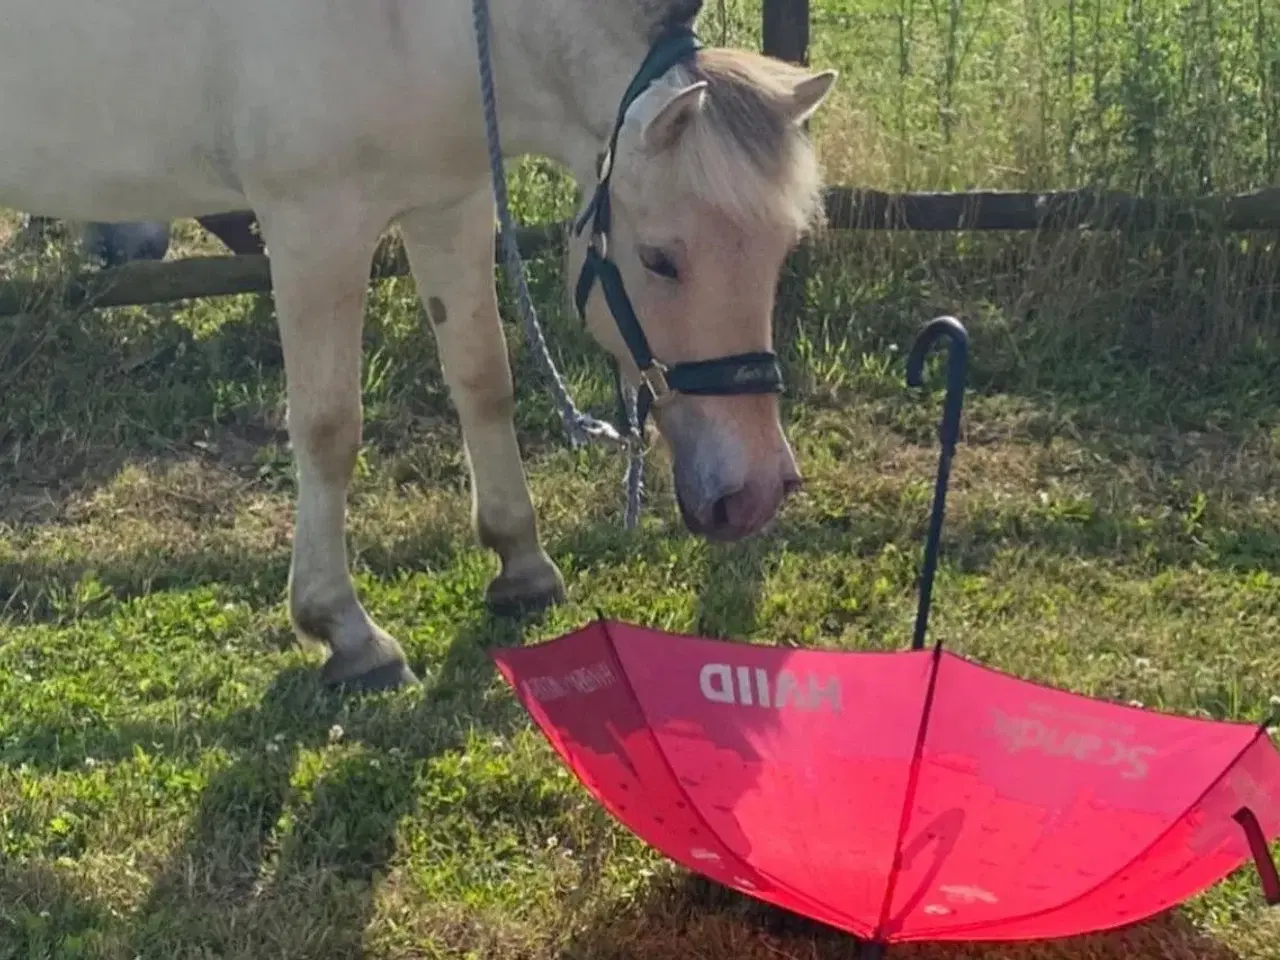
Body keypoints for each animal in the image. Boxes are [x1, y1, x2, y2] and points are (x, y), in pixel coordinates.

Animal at [0, 0, 839, 691]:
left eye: (784, 248)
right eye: (661, 259)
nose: (755, 493)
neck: (420, 22)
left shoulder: (451, 204)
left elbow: (483, 380)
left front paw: (521, 563)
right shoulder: (316, 227)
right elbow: (329, 428)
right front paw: (346, 632)